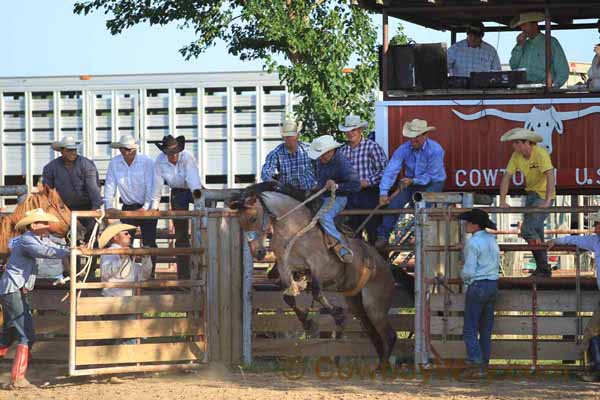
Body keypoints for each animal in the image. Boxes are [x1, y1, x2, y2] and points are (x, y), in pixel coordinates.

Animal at [227, 182, 414, 368]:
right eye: (241, 222)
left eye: (253, 218)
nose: (257, 253)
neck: (294, 228)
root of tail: (386, 266)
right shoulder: (286, 267)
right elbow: (288, 296)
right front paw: (308, 322)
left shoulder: (320, 267)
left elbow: (317, 291)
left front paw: (337, 314)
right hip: (357, 304)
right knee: (375, 335)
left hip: (374, 306)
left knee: (389, 335)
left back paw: (382, 368)